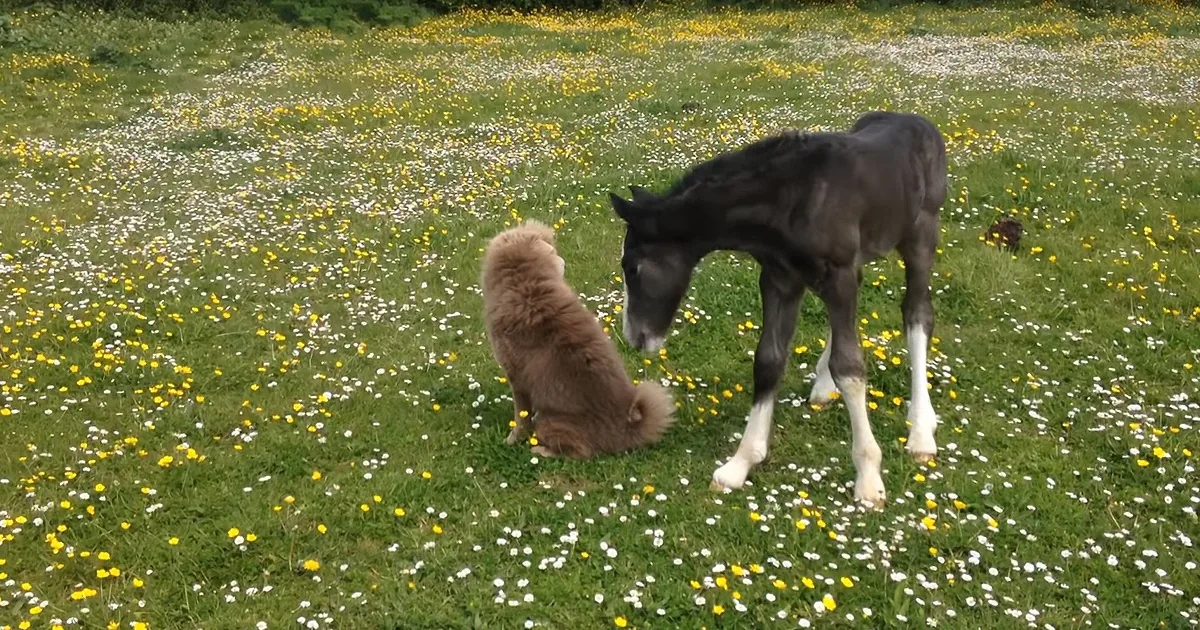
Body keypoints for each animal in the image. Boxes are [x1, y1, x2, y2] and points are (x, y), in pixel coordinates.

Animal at [608, 110, 947, 509]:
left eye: (631, 267)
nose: (634, 335)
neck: (789, 202)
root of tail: (918, 121)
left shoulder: (838, 275)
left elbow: (850, 368)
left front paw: (868, 478)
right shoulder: (780, 279)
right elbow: (769, 360)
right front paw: (739, 464)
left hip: (921, 234)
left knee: (917, 313)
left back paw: (921, 432)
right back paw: (823, 386)